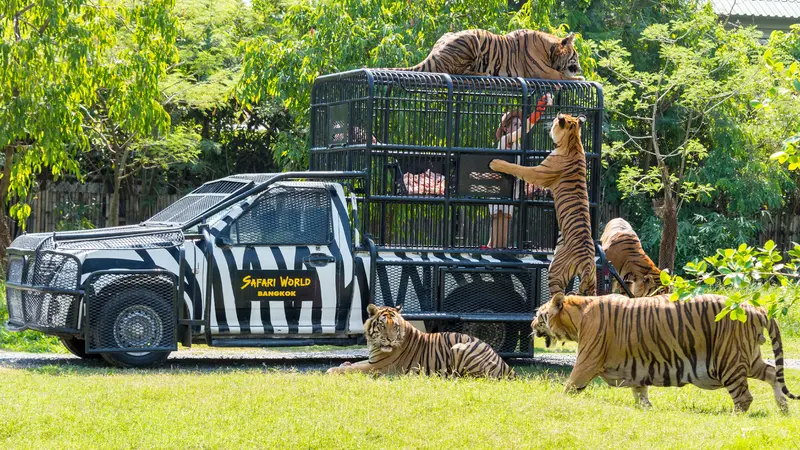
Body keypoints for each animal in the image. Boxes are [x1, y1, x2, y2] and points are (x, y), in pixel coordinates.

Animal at [326, 304, 515, 379]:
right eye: (382, 325)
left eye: (395, 326)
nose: (390, 339)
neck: (374, 344)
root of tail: (506, 365)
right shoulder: (372, 360)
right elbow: (354, 364)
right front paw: (345, 363)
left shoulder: (378, 366)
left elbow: (352, 369)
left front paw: (331, 370)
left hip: (459, 347)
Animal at [392, 29, 583, 80]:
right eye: (576, 56)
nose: (580, 68)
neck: (550, 51)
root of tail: (433, 53)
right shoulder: (542, 72)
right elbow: (563, 76)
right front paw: (581, 78)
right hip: (471, 40)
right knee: (455, 72)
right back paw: (483, 73)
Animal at [489, 113, 596, 296]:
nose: (552, 119)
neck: (574, 141)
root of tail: (588, 263)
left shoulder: (537, 172)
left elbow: (517, 168)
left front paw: (497, 163)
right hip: (593, 282)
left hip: (555, 271)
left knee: (558, 294)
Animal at [532, 292, 799, 412]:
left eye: (539, 314)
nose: (532, 324)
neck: (577, 319)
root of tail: (755, 308)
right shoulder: (635, 368)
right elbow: (640, 393)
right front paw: (647, 410)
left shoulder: (587, 361)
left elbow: (569, 385)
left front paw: (557, 401)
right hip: (749, 358)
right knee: (773, 372)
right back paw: (783, 409)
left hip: (729, 361)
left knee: (744, 397)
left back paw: (735, 417)